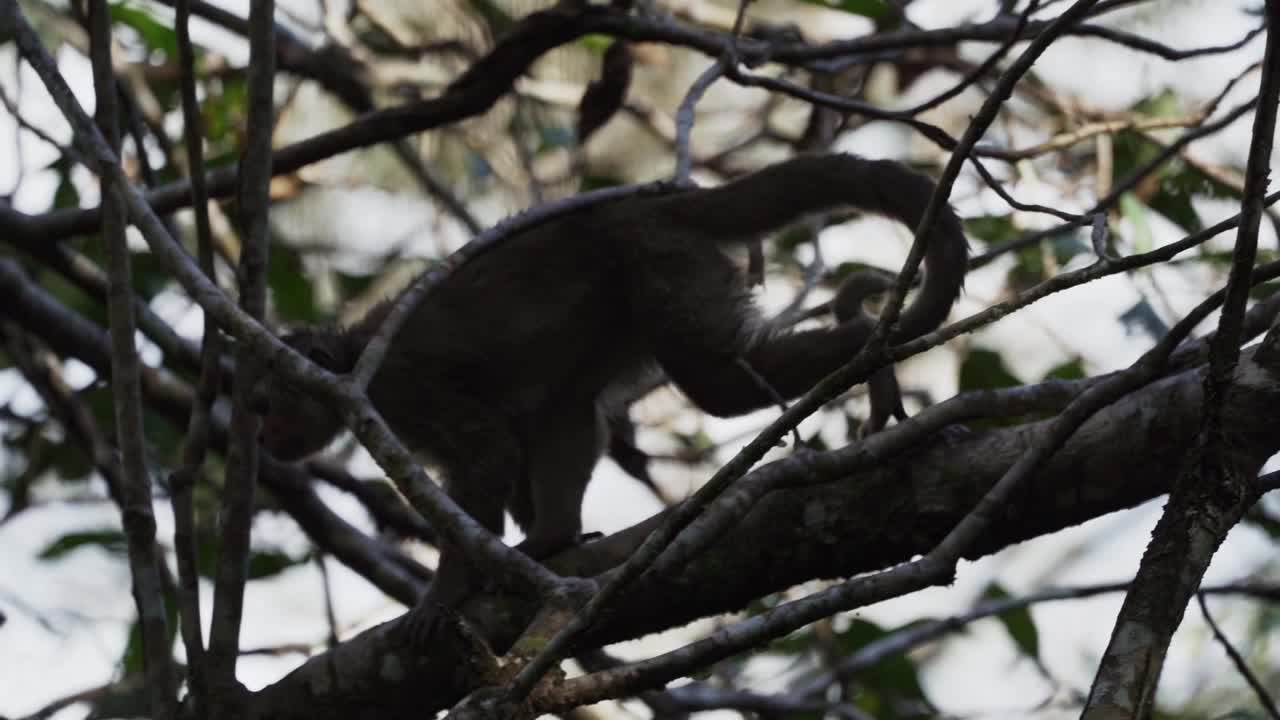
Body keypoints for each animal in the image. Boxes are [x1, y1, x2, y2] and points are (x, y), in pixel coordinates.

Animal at [249, 151, 967, 604]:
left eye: (268, 404)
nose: (262, 436)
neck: (351, 358)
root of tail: (662, 205)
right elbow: (517, 438)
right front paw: (528, 540)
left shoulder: (398, 387)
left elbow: (486, 450)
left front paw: (445, 596)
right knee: (568, 405)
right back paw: (554, 536)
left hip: (663, 264)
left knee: (715, 385)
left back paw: (866, 351)